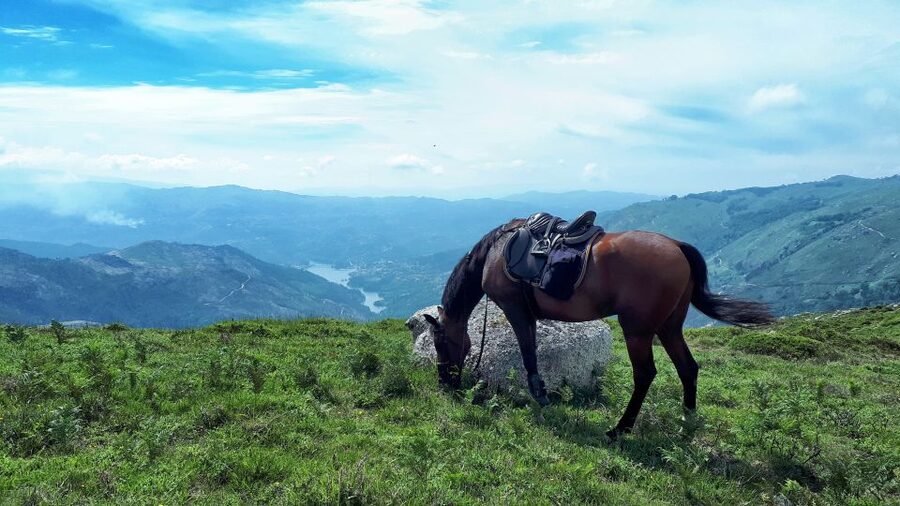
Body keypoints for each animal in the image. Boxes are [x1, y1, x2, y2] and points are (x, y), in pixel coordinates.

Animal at [421, 218, 774, 440]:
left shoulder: (516, 309)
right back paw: (687, 422)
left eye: (439, 343)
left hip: (637, 329)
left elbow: (528, 353)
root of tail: (677, 246)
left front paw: (541, 395)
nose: (444, 384)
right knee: (688, 368)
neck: (496, 252)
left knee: (645, 374)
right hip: (669, 326)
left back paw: (621, 429)